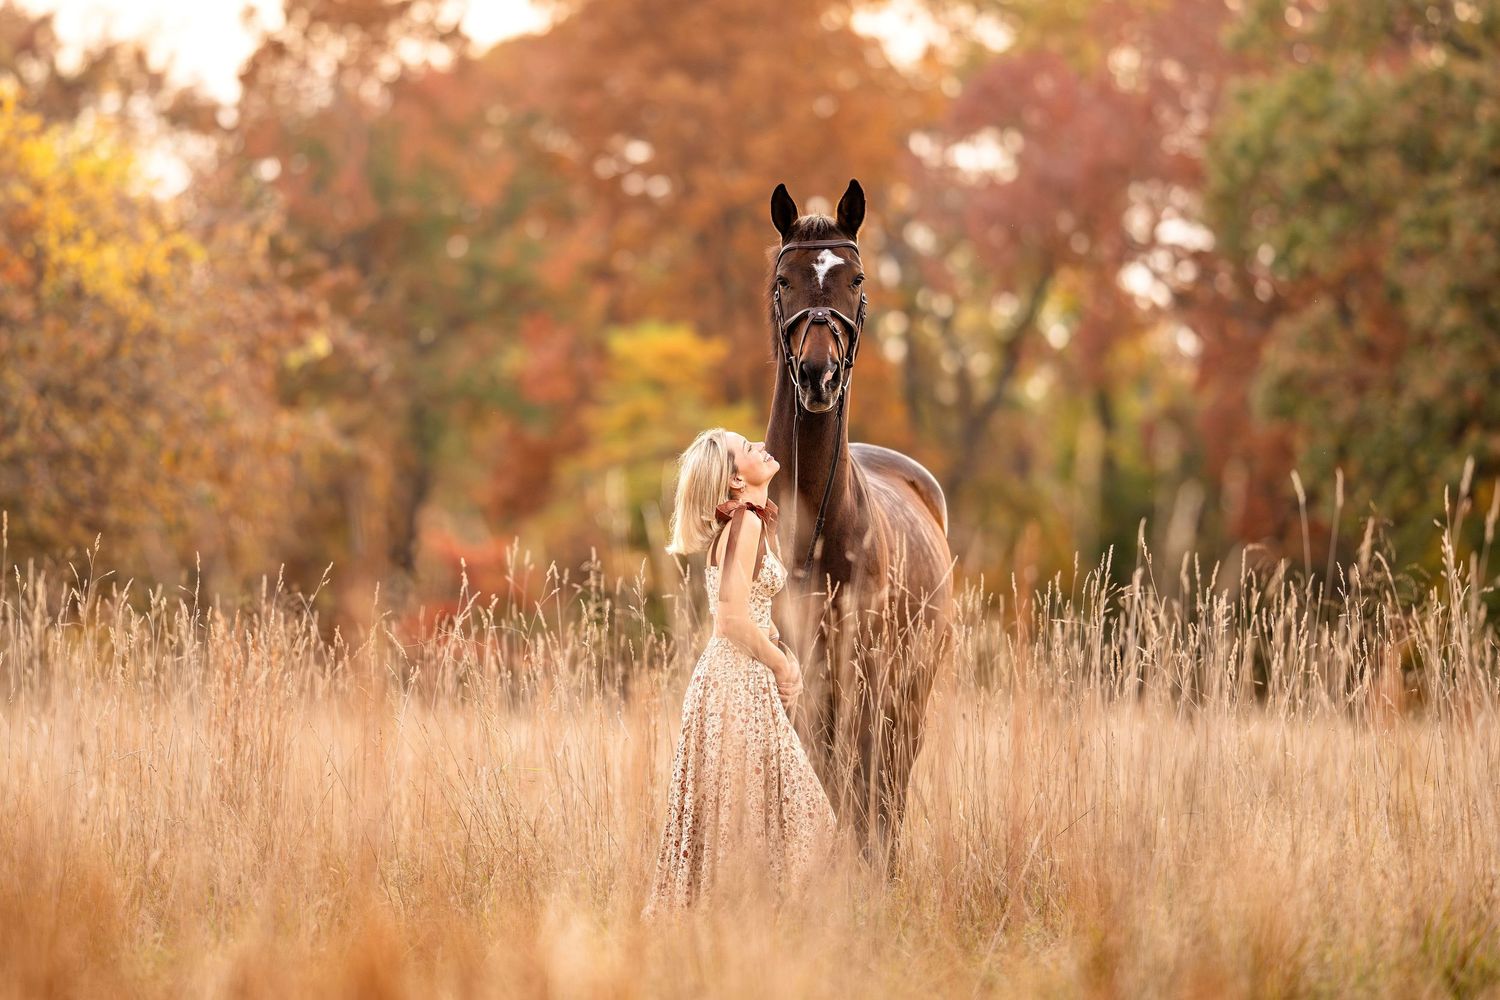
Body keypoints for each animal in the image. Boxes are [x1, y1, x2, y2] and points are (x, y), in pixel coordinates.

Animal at [762, 179, 955, 873]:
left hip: (910, 688)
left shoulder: (863, 674)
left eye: (855, 279)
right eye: (784, 280)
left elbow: (861, 786)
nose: (818, 376)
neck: (814, 535)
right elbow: (819, 777)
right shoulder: (797, 673)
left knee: (888, 782)